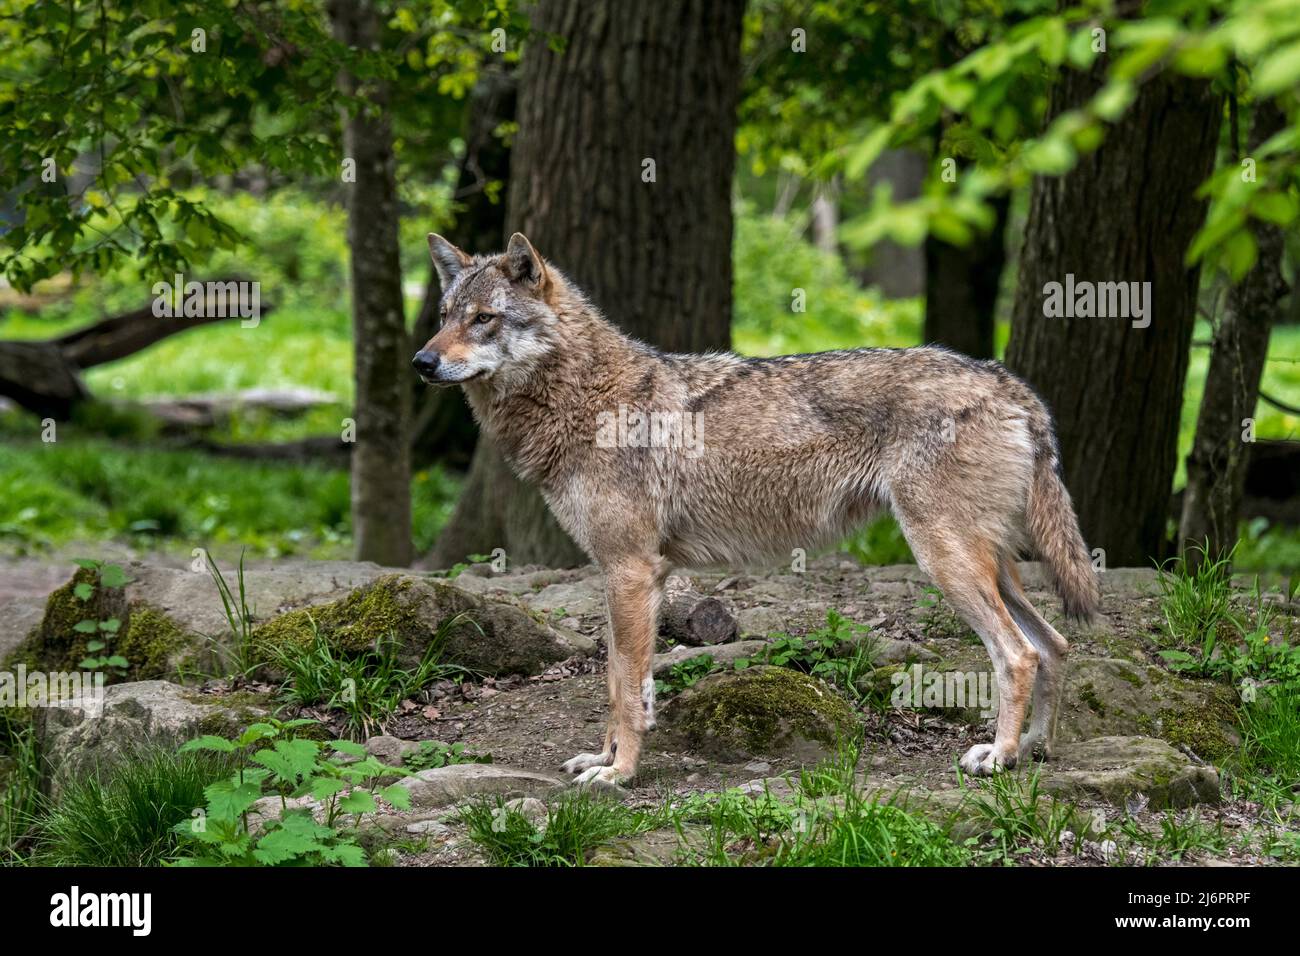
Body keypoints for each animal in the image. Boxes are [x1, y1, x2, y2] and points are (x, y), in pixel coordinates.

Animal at [415, 232, 1102, 787]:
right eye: (444, 317)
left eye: (483, 319)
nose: (422, 362)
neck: (585, 399)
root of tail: (1004, 380)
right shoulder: (621, 576)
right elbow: (615, 681)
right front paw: (601, 759)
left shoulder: (632, 572)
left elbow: (627, 690)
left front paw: (621, 773)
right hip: (989, 565)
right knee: (1057, 644)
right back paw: (1036, 750)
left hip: (945, 561)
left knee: (1019, 654)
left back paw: (1000, 756)